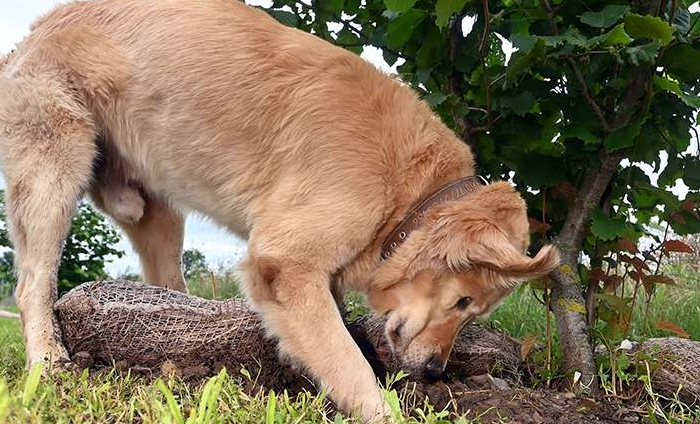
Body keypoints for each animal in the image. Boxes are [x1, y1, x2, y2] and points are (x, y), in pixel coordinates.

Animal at [0, 0, 556, 420]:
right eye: (463, 302)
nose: (435, 373)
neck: (408, 190)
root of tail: (34, 32)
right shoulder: (284, 262)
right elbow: (349, 361)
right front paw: (381, 409)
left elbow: (334, 342)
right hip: (55, 172)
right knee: (32, 286)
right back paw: (49, 364)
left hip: (157, 209)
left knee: (165, 281)